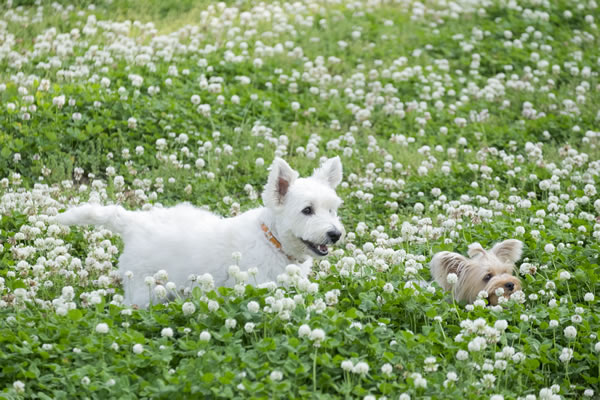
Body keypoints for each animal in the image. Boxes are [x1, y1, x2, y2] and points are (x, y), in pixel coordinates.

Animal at [57, 157, 345, 306]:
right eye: (307, 210)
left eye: (332, 209)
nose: (335, 234)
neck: (273, 242)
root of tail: (134, 223)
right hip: (143, 290)